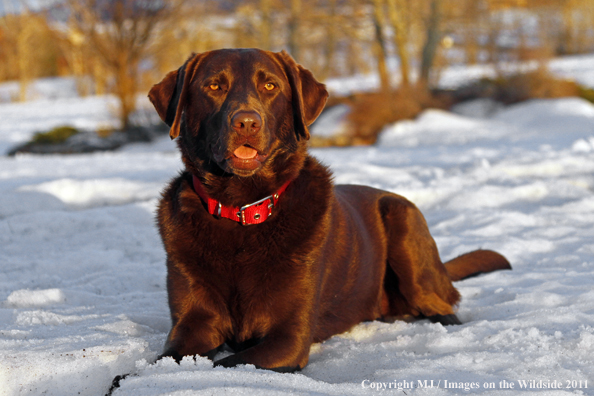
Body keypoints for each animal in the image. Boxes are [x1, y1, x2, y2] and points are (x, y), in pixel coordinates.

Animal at [145, 48, 508, 372]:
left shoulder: (288, 337)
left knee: (443, 305)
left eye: (270, 86)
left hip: (404, 222)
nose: (246, 123)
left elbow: (227, 364)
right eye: (214, 86)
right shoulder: (191, 325)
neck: (242, 210)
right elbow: (162, 360)